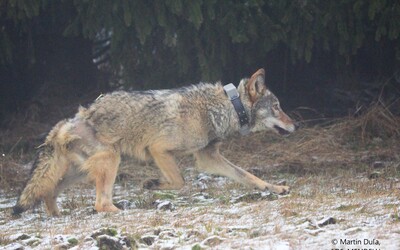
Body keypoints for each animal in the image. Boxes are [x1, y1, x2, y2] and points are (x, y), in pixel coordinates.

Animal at [13, 69, 294, 217]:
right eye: (277, 107)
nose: (296, 126)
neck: (224, 108)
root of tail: (67, 122)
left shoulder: (208, 158)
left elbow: (249, 176)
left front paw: (277, 188)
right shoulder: (158, 150)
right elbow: (180, 181)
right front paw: (152, 184)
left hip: (80, 172)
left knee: (48, 192)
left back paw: (58, 215)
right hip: (110, 162)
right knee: (99, 203)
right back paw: (120, 210)